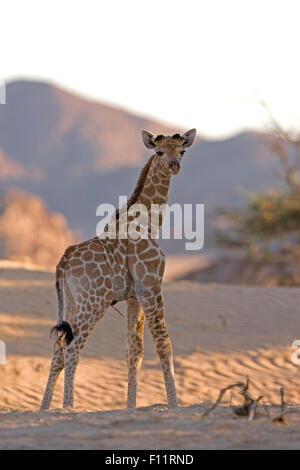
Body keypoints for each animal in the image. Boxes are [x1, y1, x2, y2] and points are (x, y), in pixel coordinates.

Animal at [39, 126, 197, 410]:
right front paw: (174, 403)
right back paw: (68, 406)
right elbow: (163, 343)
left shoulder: (134, 296)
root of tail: (63, 263)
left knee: (58, 348)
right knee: (72, 347)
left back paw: (44, 408)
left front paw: (131, 406)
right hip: (95, 301)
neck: (148, 222)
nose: (174, 165)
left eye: (182, 150)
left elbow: (134, 351)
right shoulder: (151, 285)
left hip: (72, 301)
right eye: (159, 151)